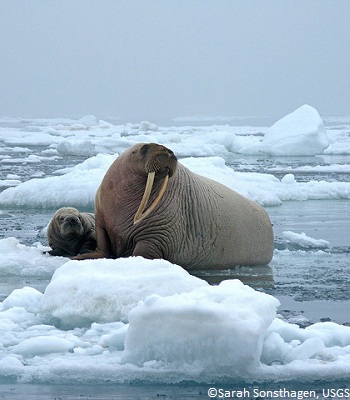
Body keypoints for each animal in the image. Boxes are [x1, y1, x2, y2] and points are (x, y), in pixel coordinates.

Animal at [75, 143, 274, 268]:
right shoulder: (101, 218)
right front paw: (81, 256)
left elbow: (144, 251)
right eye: (144, 148)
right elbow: (103, 244)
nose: (168, 151)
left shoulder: (157, 234)